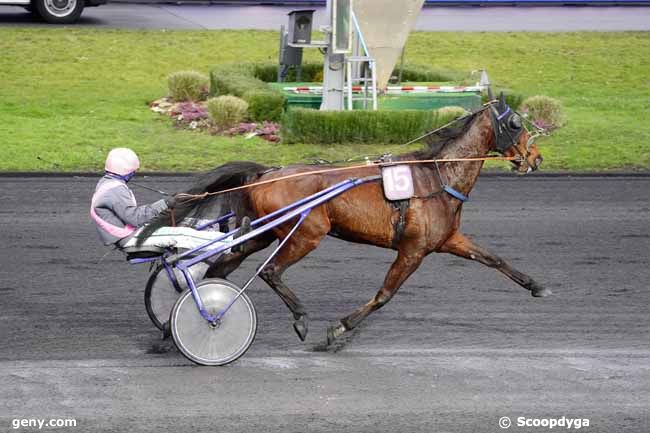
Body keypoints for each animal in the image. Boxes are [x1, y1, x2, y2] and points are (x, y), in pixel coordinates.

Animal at [143, 94, 548, 344]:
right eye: (515, 123)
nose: (536, 158)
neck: (437, 177)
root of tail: (267, 173)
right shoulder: (413, 249)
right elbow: (385, 294)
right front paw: (339, 329)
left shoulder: (447, 239)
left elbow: (494, 259)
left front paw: (537, 286)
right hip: (307, 232)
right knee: (269, 271)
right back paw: (298, 318)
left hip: (265, 232)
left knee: (221, 266)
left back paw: (178, 320)